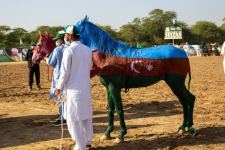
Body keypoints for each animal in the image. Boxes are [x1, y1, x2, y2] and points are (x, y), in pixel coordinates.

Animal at [39, 17, 196, 143]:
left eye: (75, 27)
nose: (64, 41)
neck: (108, 55)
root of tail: (183, 53)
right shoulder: (108, 88)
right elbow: (110, 109)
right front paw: (107, 133)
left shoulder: (115, 87)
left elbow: (119, 109)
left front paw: (121, 135)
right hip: (175, 84)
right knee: (184, 101)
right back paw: (183, 127)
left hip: (176, 83)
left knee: (190, 99)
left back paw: (190, 128)